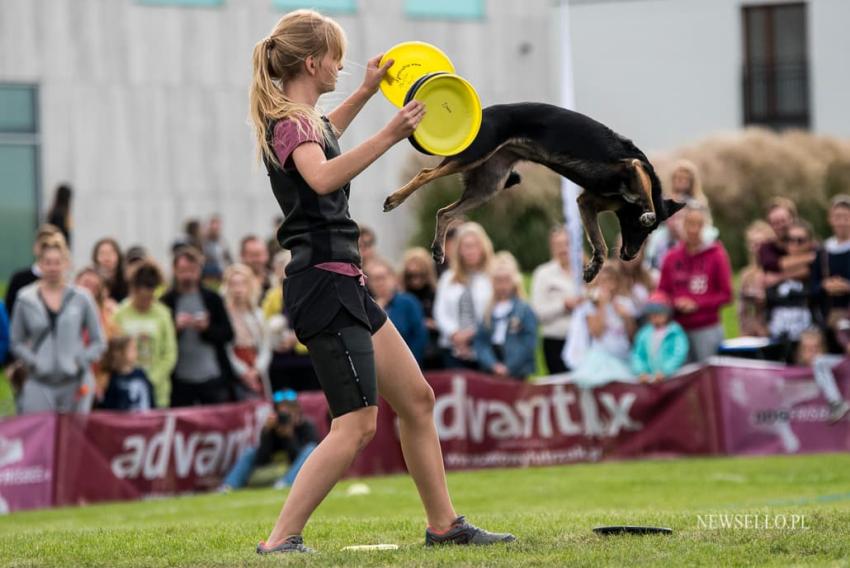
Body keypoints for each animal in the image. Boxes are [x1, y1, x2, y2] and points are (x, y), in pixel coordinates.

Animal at [382, 102, 684, 282]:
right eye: (648, 230)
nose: (630, 256)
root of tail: (481, 113)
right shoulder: (633, 166)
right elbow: (646, 192)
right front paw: (648, 210)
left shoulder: (586, 202)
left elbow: (599, 243)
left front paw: (593, 268)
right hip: (472, 157)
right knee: (424, 174)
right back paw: (395, 199)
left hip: (487, 186)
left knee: (444, 213)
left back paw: (437, 249)